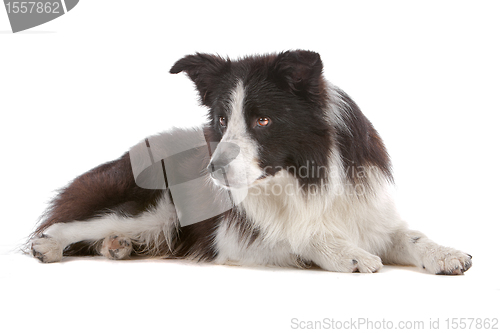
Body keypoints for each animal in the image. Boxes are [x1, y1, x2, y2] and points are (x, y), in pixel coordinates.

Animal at [28, 49, 472, 272]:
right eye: (223, 120)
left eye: (263, 120)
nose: (212, 170)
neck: (301, 175)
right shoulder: (232, 237)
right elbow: (297, 234)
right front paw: (349, 254)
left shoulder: (368, 211)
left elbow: (411, 236)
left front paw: (446, 254)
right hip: (157, 206)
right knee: (70, 223)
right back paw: (50, 245)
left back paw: (117, 247)